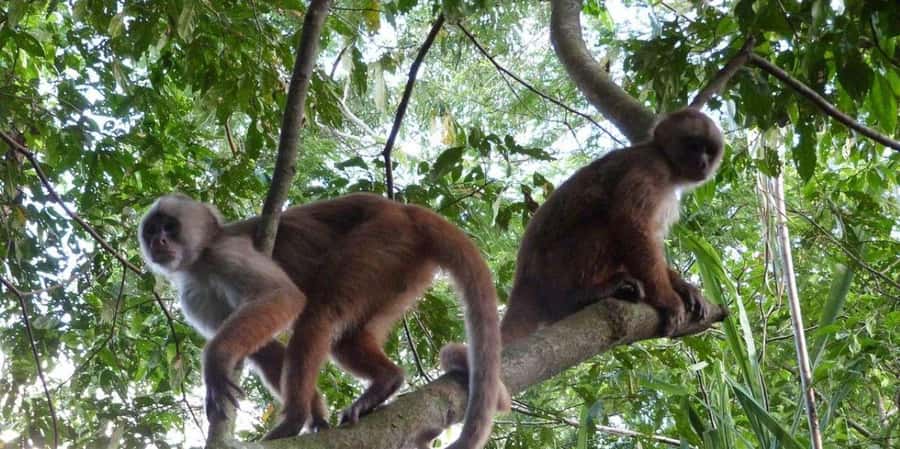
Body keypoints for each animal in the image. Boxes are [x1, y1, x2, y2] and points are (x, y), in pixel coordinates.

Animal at [140, 193, 504, 449]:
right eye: (152, 230)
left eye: (169, 226)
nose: (158, 241)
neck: (200, 261)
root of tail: (404, 210)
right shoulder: (193, 296)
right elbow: (266, 351)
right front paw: (316, 416)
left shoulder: (226, 252)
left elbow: (284, 297)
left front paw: (216, 360)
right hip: (401, 268)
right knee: (344, 338)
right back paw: (386, 381)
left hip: (383, 237)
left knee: (319, 312)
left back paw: (293, 418)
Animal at [500, 108, 723, 343]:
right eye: (693, 146)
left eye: (709, 150)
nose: (702, 162)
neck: (666, 162)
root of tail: (524, 280)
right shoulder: (651, 168)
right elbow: (631, 225)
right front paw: (668, 299)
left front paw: (683, 287)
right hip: (553, 269)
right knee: (607, 224)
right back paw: (581, 295)